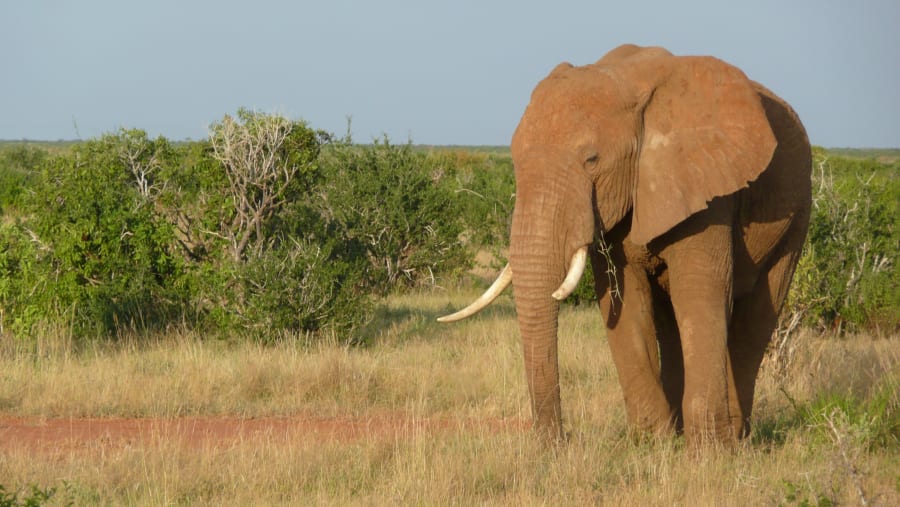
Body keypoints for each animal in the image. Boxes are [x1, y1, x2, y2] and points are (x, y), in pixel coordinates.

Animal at [439, 44, 812, 446]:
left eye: (592, 160)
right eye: (514, 158)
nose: (559, 442)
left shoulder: (708, 188)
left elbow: (699, 296)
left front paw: (708, 453)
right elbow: (624, 298)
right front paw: (653, 444)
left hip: (797, 215)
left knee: (757, 316)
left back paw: (736, 439)